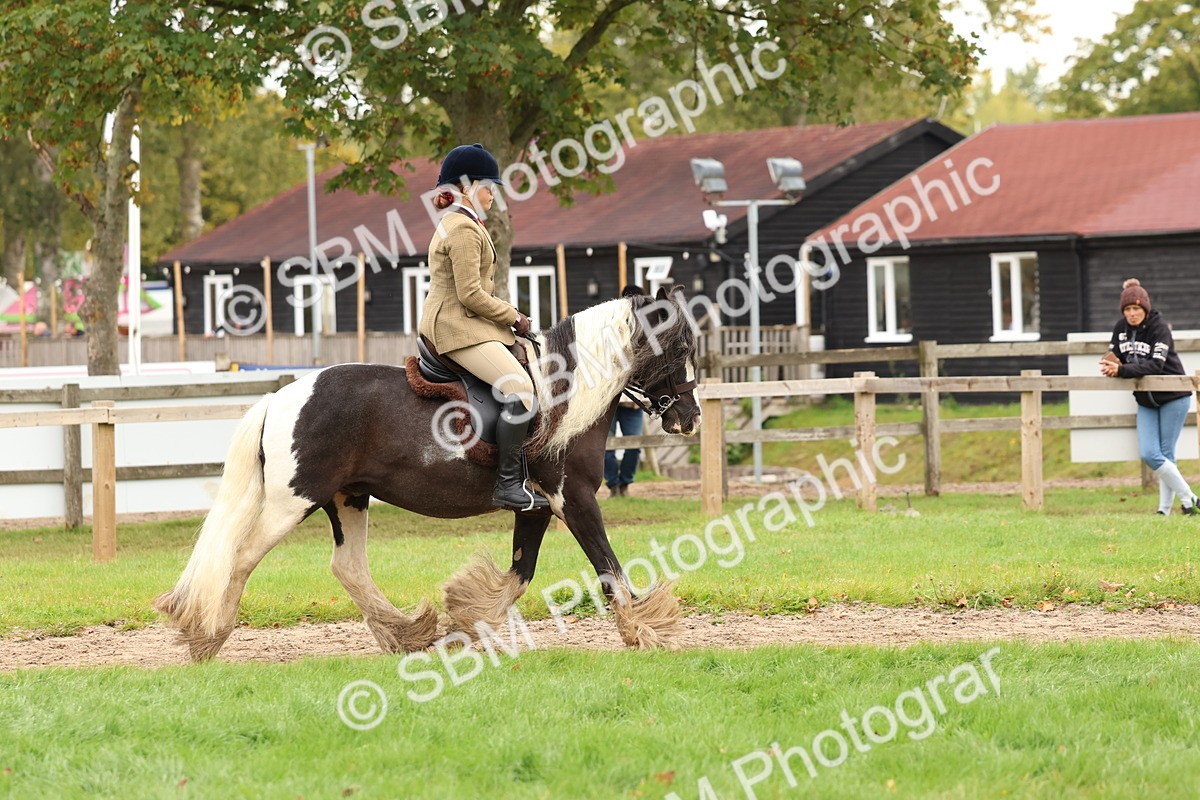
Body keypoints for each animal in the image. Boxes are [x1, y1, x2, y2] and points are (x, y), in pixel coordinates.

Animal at [155, 285, 703, 661]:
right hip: (294, 501)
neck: (563, 395)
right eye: (679, 350)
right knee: (242, 558)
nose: (689, 418)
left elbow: (519, 576)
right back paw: (207, 637)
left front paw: (467, 622)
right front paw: (644, 630)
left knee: (348, 567)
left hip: (346, 498)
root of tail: (280, 396)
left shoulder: (538, 508)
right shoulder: (575, 499)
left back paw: (406, 634)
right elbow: (610, 570)